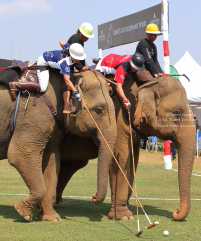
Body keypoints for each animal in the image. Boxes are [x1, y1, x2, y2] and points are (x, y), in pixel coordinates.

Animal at [0, 59, 116, 221]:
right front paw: (23, 212)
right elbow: (19, 154)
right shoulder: (33, 113)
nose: (93, 196)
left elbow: (52, 161)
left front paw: (50, 218)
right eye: (98, 110)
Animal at [55, 74, 196, 222]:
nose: (176, 212)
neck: (147, 83)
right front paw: (124, 217)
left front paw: (128, 211)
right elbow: (121, 159)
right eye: (177, 113)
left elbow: (134, 161)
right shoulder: (119, 119)